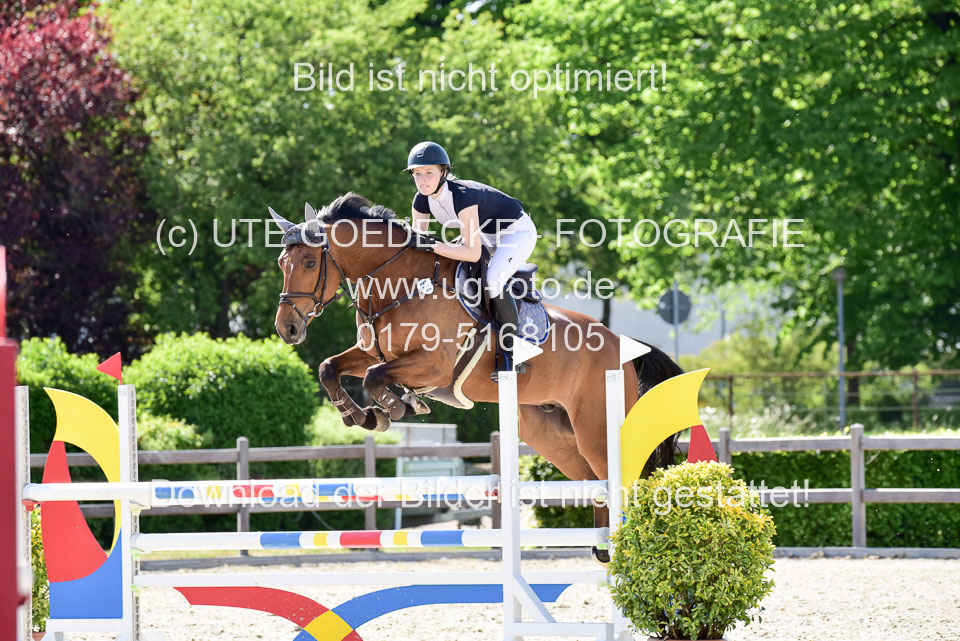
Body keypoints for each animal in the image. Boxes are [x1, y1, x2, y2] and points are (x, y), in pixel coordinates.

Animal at [271, 193, 682, 562]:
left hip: (595, 429)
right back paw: (603, 548)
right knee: (595, 482)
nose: (287, 329)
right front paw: (361, 416)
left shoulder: (432, 364)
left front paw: (395, 408)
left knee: (626, 478)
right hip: (551, 433)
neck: (400, 284)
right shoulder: (374, 352)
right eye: (281, 262)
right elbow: (330, 368)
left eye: (310, 261)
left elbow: (374, 378)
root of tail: (621, 343)